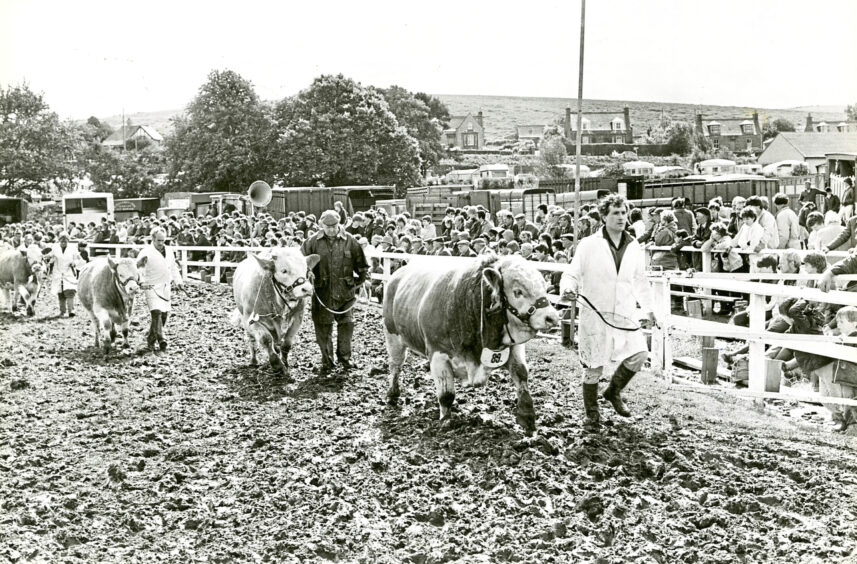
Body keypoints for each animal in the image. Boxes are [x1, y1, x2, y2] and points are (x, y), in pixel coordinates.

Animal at [229, 250, 320, 378]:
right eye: (284, 270)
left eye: (306, 270)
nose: (307, 289)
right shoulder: (250, 320)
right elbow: (265, 339)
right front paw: (277, 364)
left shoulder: (298, 317)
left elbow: (287, 343)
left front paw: (284, 362)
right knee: (252, 340)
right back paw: (253, 360)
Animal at [382, 253, 560, 434]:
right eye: (518, 292)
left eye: (544, 287)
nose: (552, 317)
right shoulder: (438, 353)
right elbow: (446, 394)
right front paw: (446, 421)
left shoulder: (513, 347)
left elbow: (521, 373)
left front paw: (527, 415)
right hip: (392, 336)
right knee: (395, 366)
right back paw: (392, 394)